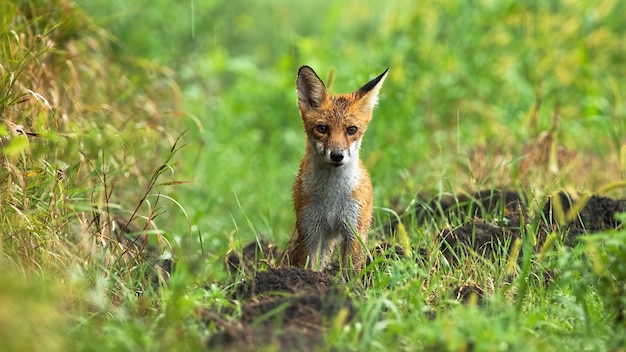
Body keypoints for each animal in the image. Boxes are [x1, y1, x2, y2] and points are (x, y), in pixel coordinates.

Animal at [278, 66, 386, 276]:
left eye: (351, 130)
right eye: (322, 128)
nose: (337, 155)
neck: (331, 196)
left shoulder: (352, 231)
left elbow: (350, 272)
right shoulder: (310, 232)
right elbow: (308, 267)